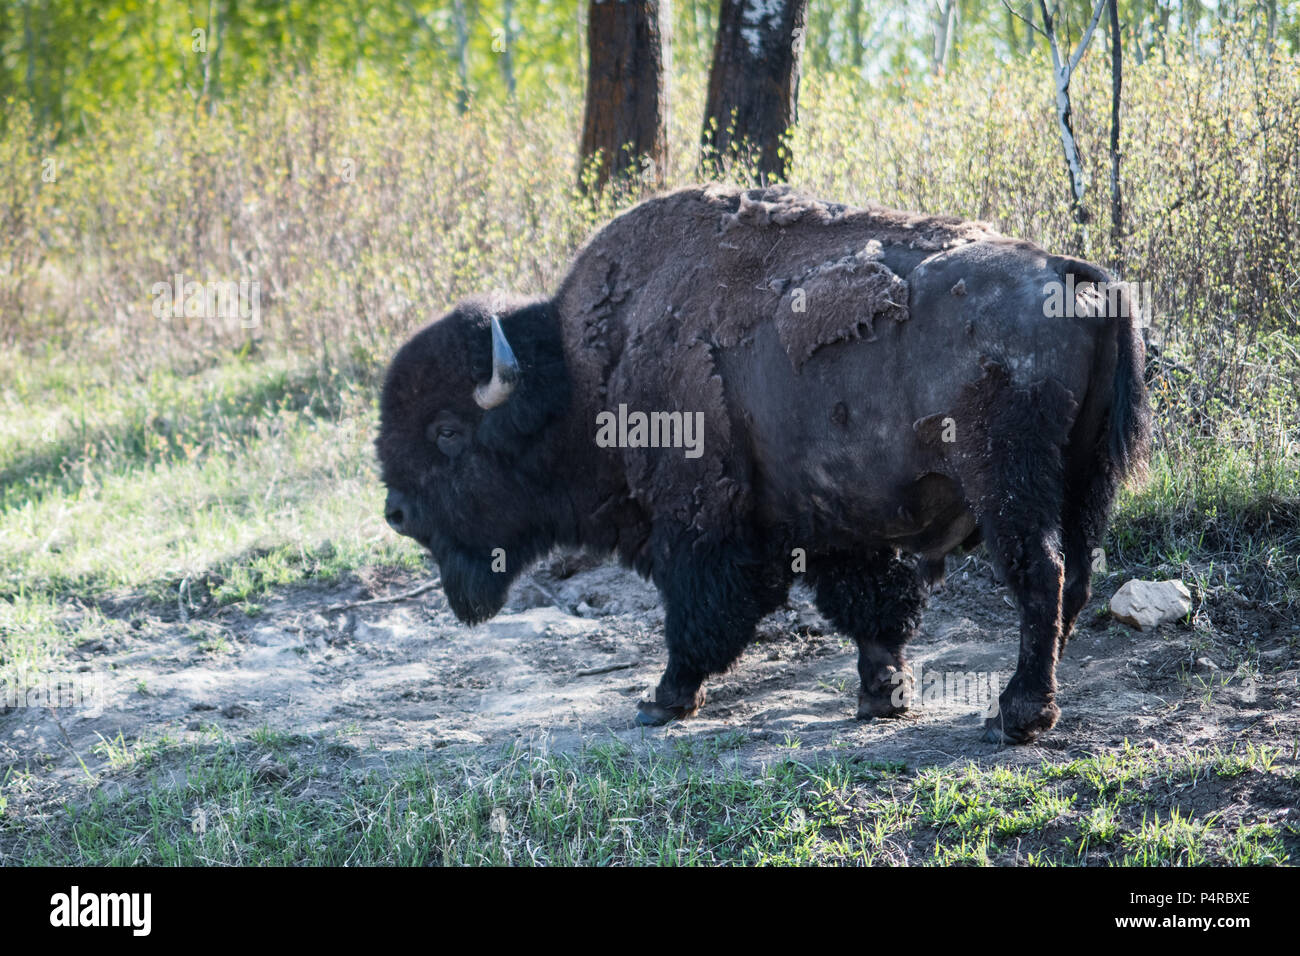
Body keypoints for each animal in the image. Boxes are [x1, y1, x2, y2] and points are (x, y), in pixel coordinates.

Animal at [377, 183, 1149, 743]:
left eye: (447, 432)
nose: (397, 512)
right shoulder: (844, 519)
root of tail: (1068, 271)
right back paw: (1033, 699)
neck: (582, 373)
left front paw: (662, 700)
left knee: (1040, 572)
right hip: (1086, 479)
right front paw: (882, 699)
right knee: (1077, 573)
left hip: (1007, 479)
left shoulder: (698, 518)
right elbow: (873, 608)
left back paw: (1016, 715)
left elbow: (699, 611)